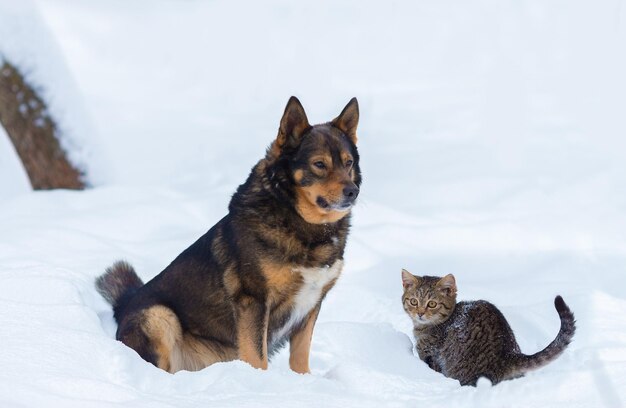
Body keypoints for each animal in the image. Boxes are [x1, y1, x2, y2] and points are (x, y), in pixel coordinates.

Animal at [94, 96, 358, 372]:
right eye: (319, 164)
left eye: (348, 162)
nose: (353, 191)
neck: (297, 219)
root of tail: (123, 308)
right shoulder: (253, 300)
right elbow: (258, 358)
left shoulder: (311, 305)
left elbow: (300, 358)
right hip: (159, 316)